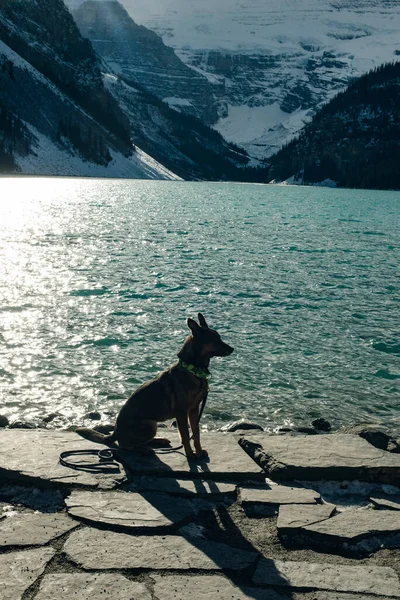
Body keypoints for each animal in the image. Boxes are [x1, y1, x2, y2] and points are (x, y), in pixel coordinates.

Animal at [76, 314, 233, 460]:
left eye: (219, 337)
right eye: (214, 340)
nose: (232, 349)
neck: (193, 370)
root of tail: (115, 432)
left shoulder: (194, 410)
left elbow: (196, 434)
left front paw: (199, 451)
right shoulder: (182, 413)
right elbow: (185, 436)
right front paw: (190, 454)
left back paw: (158, 441)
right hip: (149, 425)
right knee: (126, 446)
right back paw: (144, 450)